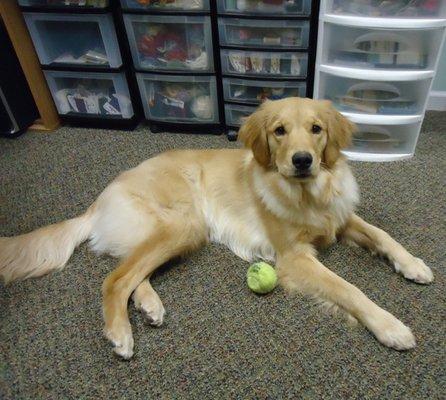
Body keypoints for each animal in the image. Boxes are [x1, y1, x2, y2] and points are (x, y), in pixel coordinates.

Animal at [0, 97, 432, 360]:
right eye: (279, 131)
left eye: (316, 129)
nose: (303, 160)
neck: (307, 194)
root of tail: (101, 197)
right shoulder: (294, 259)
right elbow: (349, 289)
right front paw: (390, 326)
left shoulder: (338, 218)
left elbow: (382, 235)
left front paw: (413, 264)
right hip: (183, 224)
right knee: (115, 278)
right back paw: (120, 333)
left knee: (131, 271)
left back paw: (149, 306)